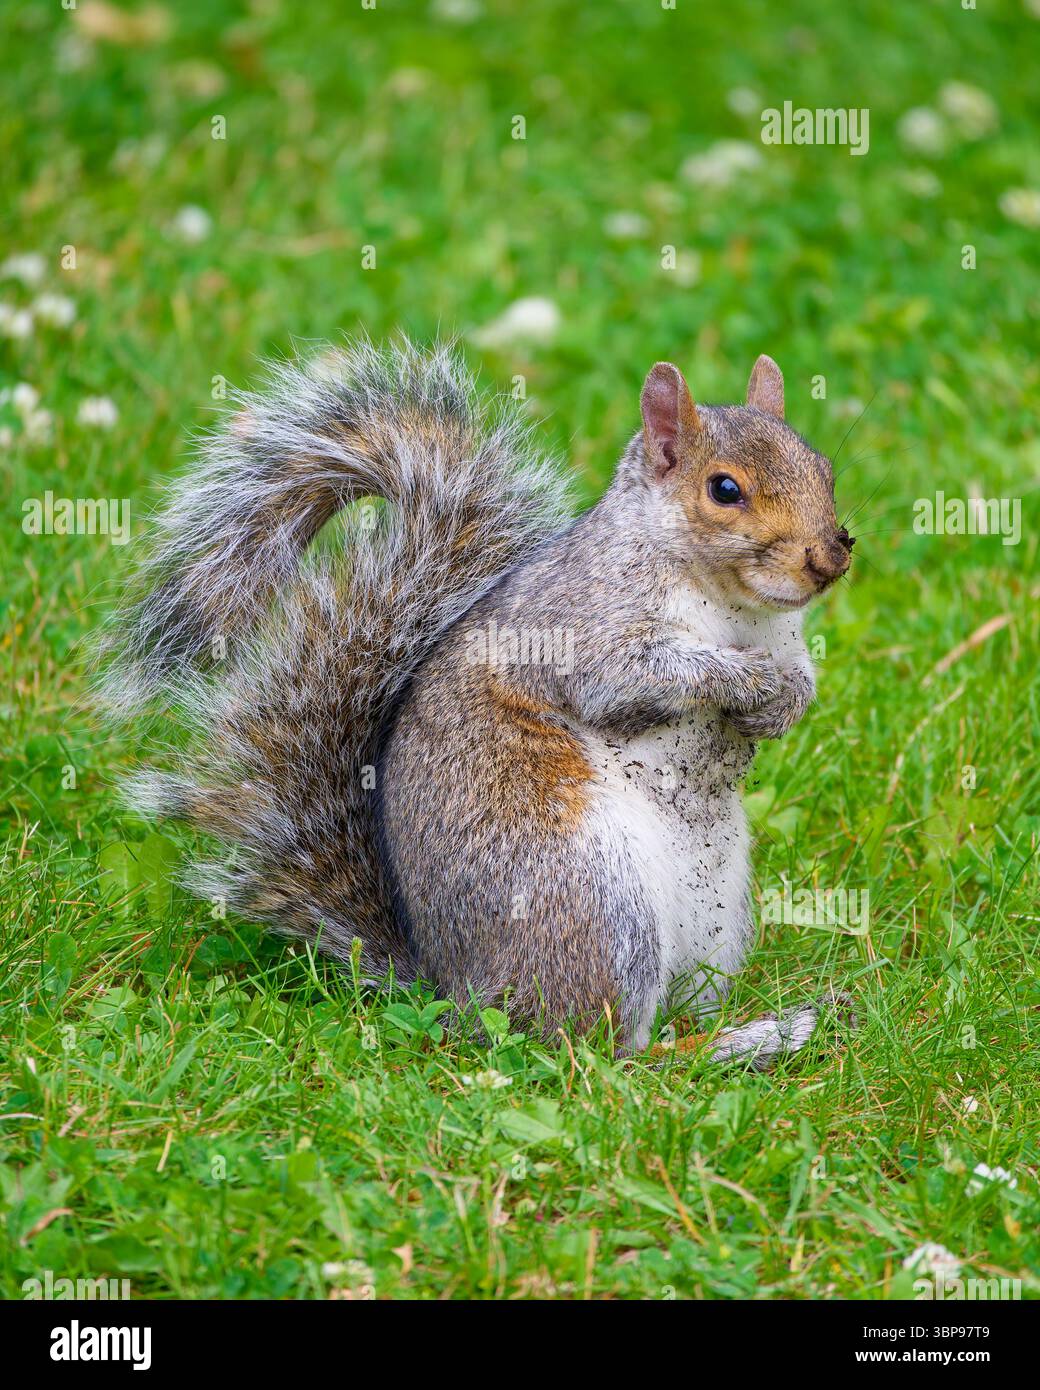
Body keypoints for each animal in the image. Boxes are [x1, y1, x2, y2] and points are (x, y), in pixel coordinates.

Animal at [100, 338, 855, 1067]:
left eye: (824, 468)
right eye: (724, 489)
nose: (830, 557)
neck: (733, 606)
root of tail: (460, 993)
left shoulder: (785, 636)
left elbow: (801, 674)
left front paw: (784, 700)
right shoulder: (583, 624)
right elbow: (629, 676)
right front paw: (743, 681)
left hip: (713, 915)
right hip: (590, 899)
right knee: (598, 1053)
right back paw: (739, 1042)